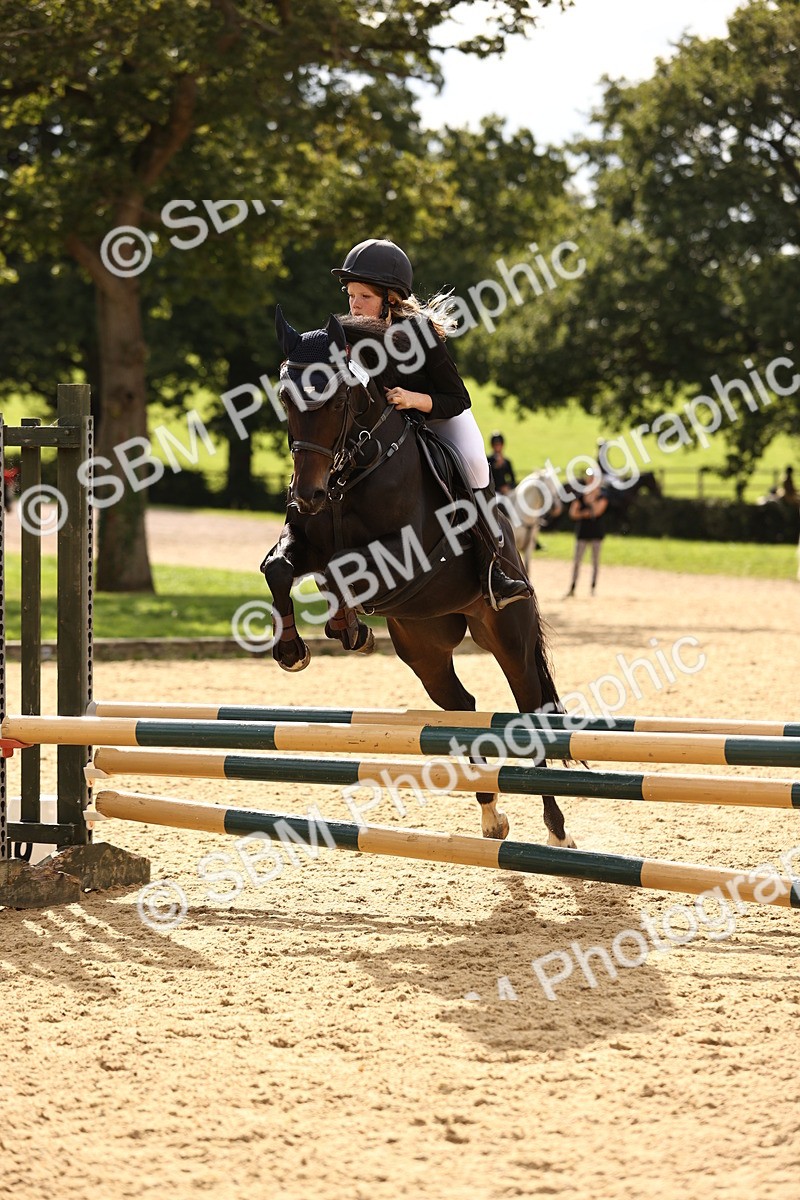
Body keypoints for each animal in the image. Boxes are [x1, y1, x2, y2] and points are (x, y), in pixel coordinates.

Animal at [260, 309, 575, 849]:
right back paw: (491, 815)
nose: (307, 495)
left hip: (508, 635)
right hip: (424, 649)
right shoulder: (306, 542)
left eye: (338, 398)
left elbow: (343, 569)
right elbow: (281, 568)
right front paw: (295, 648)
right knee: (463, 707)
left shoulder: (405, 561)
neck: (355, 466)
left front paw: (346, 626)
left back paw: (555, 830)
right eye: (284, 397)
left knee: (528, 710)